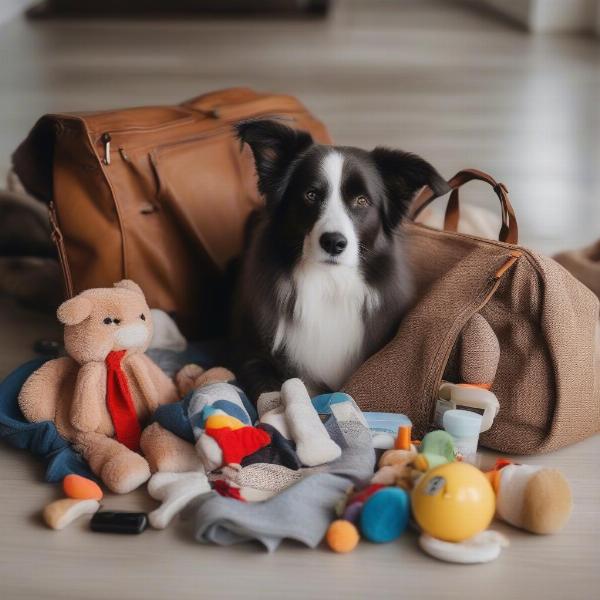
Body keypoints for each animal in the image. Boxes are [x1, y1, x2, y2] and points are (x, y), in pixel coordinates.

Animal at [232, 120, 448, 404]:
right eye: (311, 194)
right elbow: (273, 394)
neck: (329, 283)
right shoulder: (252, 357)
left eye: (362, 201)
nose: (334, 242)